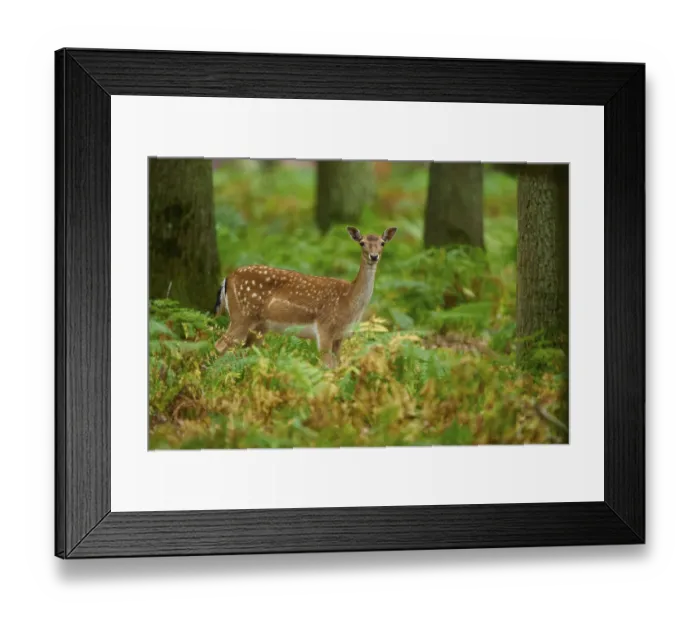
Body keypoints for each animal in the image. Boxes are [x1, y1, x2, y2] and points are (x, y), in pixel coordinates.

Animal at [212, 226, 398, 367]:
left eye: (382, 243)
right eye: (362, 242)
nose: (374, 256)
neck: (349, 300)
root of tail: (227, 278)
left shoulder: (340, 336)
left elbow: (338, 367)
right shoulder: (324, 328)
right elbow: (327, 367)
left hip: (259, 327)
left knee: (245, 353)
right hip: (242, 315)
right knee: (219, 346)